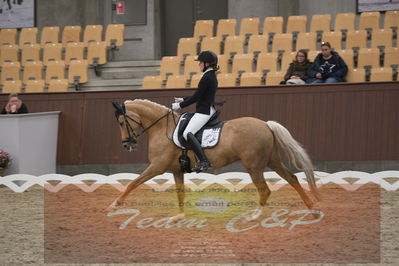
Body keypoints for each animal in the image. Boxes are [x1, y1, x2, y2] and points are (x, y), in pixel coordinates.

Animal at [109, 98, 322, 219]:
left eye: (121, 122)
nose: (126, 144)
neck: (163, 129)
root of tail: (265, 124)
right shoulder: (176, 170)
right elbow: (180, 193)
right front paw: (179, 217)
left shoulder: (157, 166)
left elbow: (133, 183)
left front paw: (114, 205)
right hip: (272, 161)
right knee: (292, 179)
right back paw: (313, 208)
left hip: (254, 166)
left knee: (265, 190)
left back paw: (255, 216)